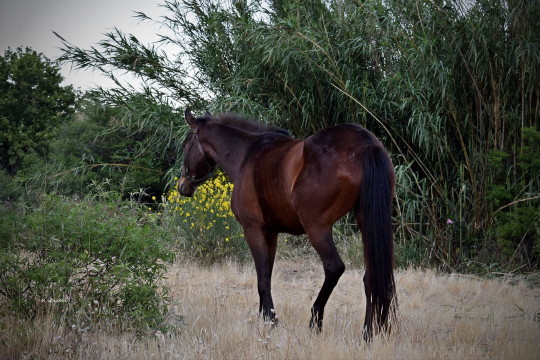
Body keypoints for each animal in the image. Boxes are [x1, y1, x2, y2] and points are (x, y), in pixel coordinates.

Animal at [177, 109, 396, 340]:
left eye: (185, 145)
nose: (183, 185)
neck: (247, 154)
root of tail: (365, 144)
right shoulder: (271, 233)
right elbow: (266, 275)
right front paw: (264, 318)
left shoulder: (253, 229)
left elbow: (262, 279)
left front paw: (272, 321)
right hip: (365, 223)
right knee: (371, 277)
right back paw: (367, 333)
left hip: (316, 228)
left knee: (334, 268)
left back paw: (315, 320)